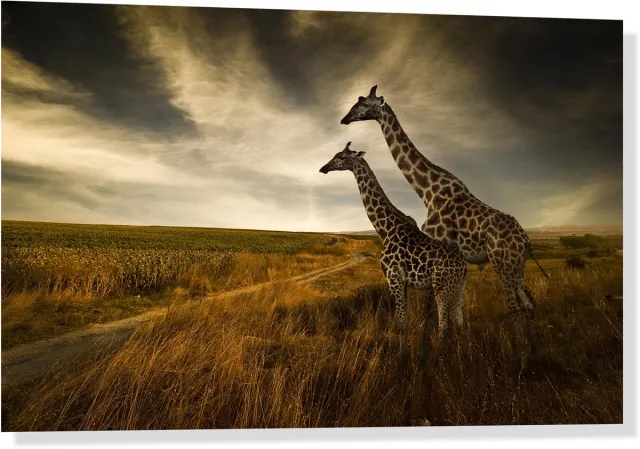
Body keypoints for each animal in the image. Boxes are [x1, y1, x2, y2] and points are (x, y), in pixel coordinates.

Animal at [319, 142, 468, 362]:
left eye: (341, 157)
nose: (324, 168)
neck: (385, 229)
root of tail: (464, 266)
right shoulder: (403, 282)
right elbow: (403, 320)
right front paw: (404, 354)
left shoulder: (394, 277)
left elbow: (400, 322)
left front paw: (401, 359)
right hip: (458, 288)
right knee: (460, 322)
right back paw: (463, 356)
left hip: (442, 287)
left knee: (444, 324)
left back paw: (435, 358)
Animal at [340, 86, 549, 366]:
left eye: (363, 104)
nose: (345, 119)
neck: (427, 190)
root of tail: (525, 239)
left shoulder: (436, 246)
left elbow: (431, 310)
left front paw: (424, 355)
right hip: (517, 266)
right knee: (528, 303)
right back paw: (535, 354)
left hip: (502, 262)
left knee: (514, 306)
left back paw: (517, 358)